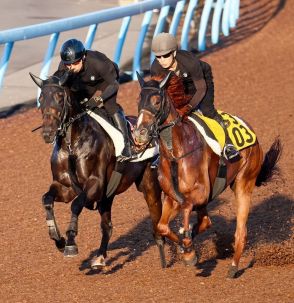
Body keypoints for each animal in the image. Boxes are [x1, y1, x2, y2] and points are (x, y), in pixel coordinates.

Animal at [30, 73, 164, 270]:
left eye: (60, 97)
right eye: (40, 99)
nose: (48, 133)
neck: (72, 145)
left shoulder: (95, 185)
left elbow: (76, 205)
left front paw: (70, 243)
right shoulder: (65, 186)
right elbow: (46, 199)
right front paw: (58, 239)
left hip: (148, 185)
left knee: (158, 213)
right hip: (107, 197)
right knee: (107, 226)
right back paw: (100, 258)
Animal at [134, 72, 282, 280]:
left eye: (156, 101)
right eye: (139, 101)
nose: (139, 133)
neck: (175, 153)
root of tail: (251, 130)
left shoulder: (200, 194)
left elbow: (187, 209)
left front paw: (188, 250)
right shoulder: (172, 198)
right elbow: (163, 226)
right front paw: (185, 246)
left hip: (244, 183)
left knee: (240, 232)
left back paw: (233, 267)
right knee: (205, 221)